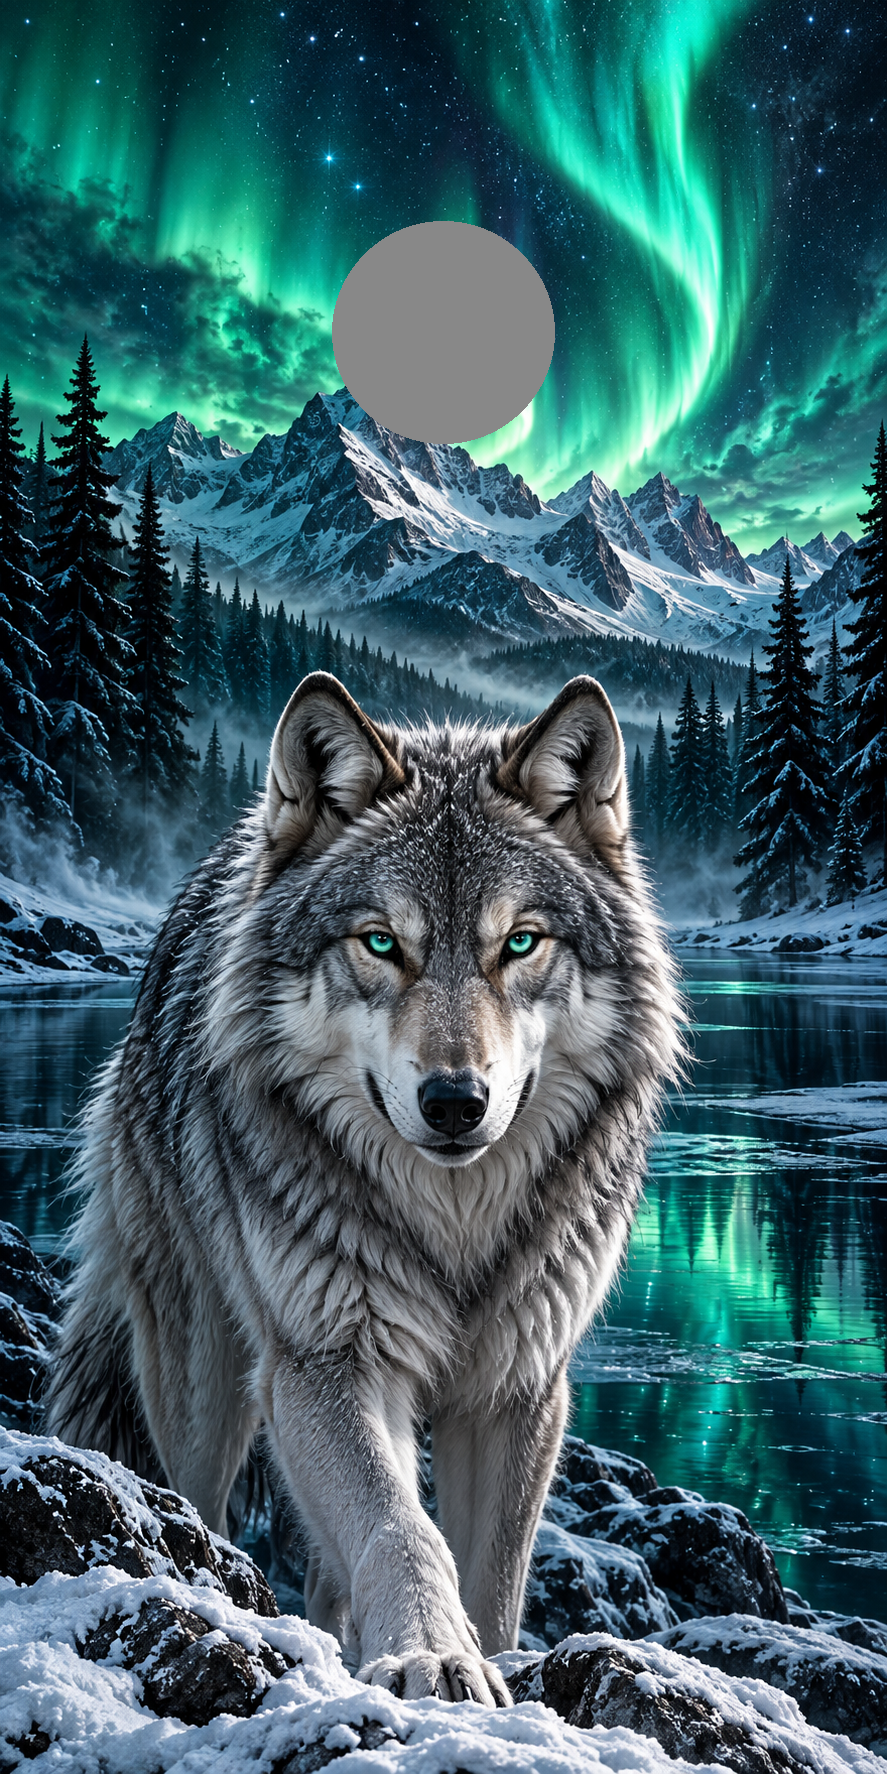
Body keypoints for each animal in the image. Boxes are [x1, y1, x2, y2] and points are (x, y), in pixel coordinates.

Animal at [46, 671, 680, 1707]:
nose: (455, 1101)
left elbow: (492, 1573)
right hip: (204, 1383)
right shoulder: (328, 1359)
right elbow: (398, 1523)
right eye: (381, 944)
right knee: (199, 1503)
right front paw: (431, 1653)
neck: (453, 1226)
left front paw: (484, 1657)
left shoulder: (518, 1386)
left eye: (521, 943)